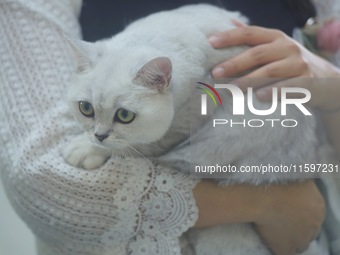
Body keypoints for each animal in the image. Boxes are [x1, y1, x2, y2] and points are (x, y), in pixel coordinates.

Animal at [62, 4, 320, 255]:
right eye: (86, 108)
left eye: (125, 116)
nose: (99, 135)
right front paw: (87, 144)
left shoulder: (187, 121)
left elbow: (138, 146)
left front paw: (86, 150)